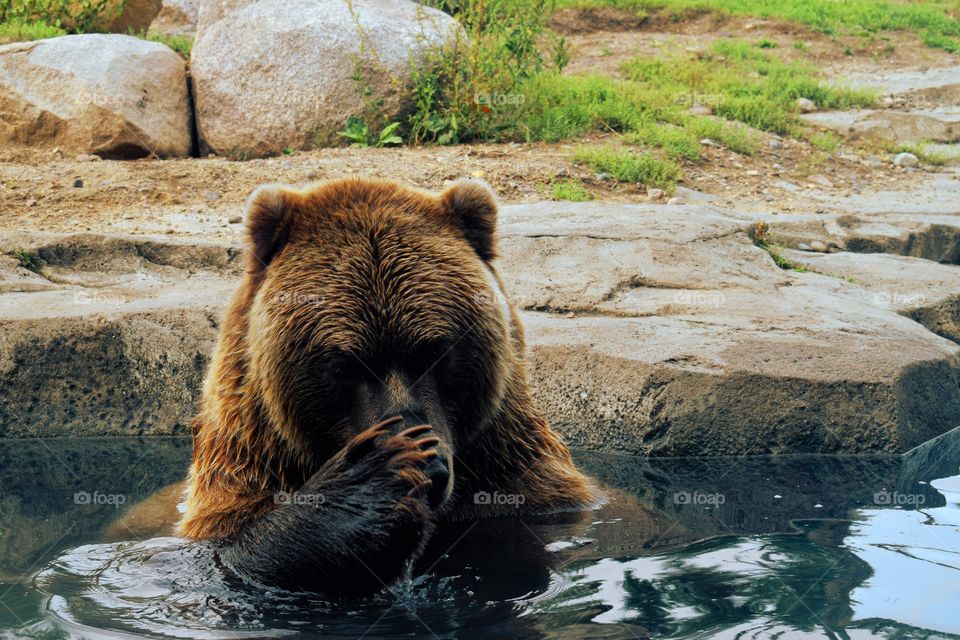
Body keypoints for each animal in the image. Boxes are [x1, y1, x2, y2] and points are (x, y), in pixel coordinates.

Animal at [175, 177, 599, 594]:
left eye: (436, 353)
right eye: (345, 365)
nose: (432, 470)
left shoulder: (519, 485)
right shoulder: (243, 479)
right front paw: (375, 483)